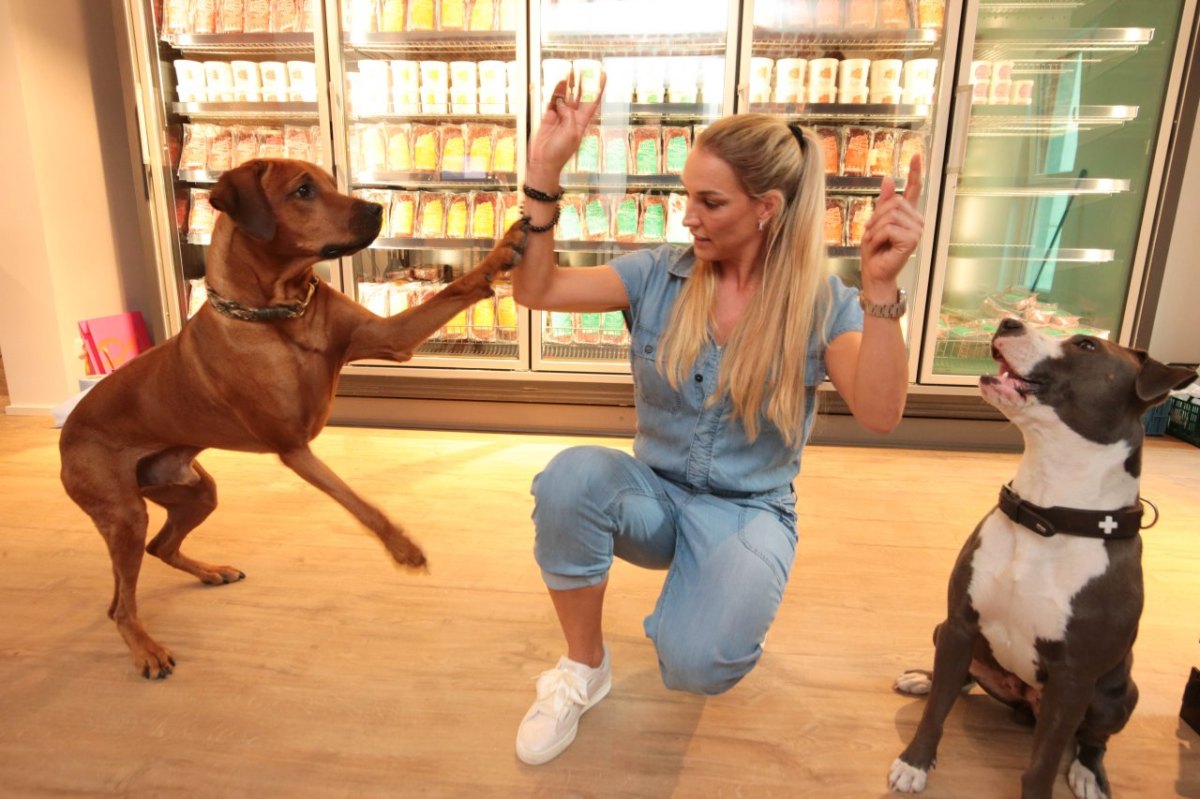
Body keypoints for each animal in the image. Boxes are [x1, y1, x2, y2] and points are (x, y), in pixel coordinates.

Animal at [58, 158, 523, 676]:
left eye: (329, 182)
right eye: (302, 191)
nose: (377, 208)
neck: (281, 311)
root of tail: (68, 427)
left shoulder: (391, 336)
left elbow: (459, 286)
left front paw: (504, 249)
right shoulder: (292, 445)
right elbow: (359, 503)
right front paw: (402, 546)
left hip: (194, 490)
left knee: (160, 547)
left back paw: (211, 572)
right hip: (124, 514)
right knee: (119, 603)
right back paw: (147, 650)